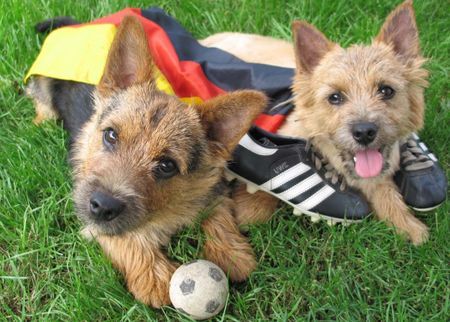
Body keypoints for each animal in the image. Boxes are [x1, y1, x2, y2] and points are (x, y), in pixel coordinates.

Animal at [202, 0, 430, 244]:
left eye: (386, 91)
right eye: (335, 97)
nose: (364, 132)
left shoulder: (377, 176)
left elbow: (387, 193)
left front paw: (408, 225)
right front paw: (249, 210)